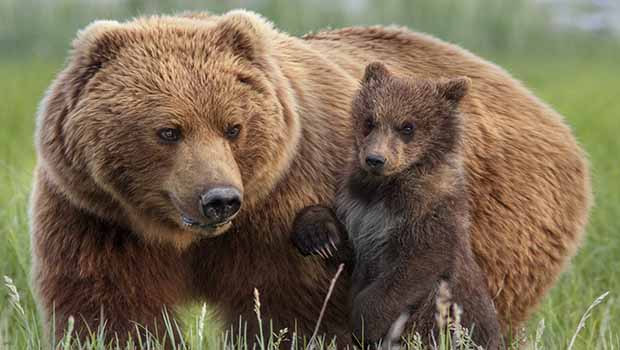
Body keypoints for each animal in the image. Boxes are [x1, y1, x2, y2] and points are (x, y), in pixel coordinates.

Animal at [32, 9, 592, 346]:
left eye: (233, 127)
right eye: (168, 130)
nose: (219, 199)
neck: (184, 239)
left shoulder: (284, 203)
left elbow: (292, 312)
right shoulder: (96, 216)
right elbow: (111, 309)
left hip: (501, 221)